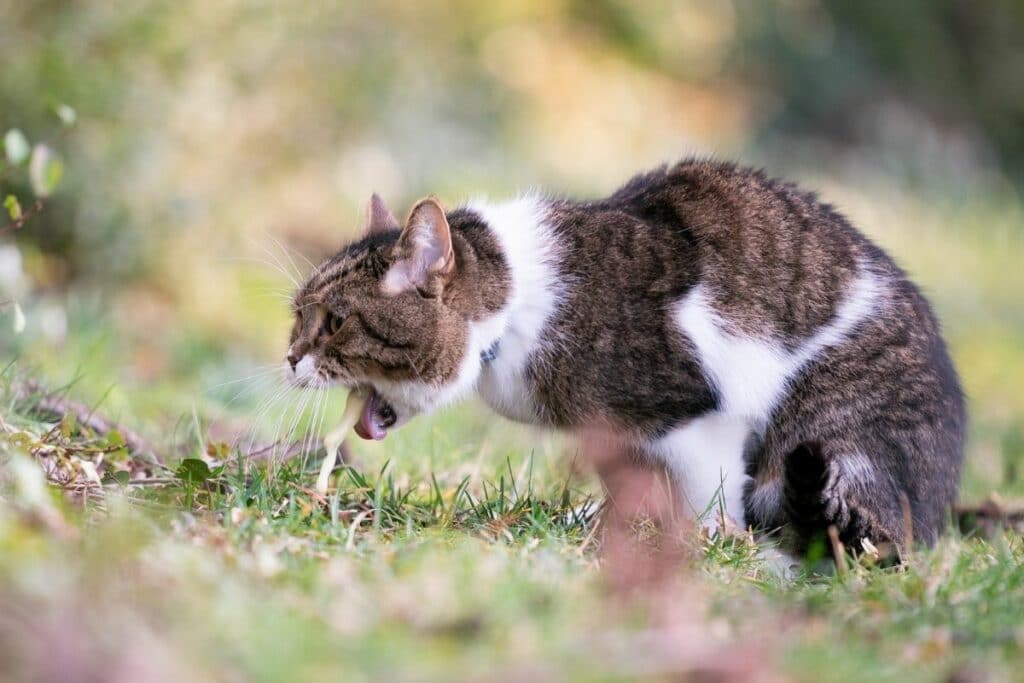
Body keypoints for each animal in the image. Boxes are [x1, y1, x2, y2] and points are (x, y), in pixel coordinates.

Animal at [284, 160, 962, 557]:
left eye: (334, 323)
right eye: (296, 315)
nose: (289, 357)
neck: (517, 306)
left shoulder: (699, 417)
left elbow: (708, 498)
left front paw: (700, 543)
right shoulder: (614, 435)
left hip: (832, 433)